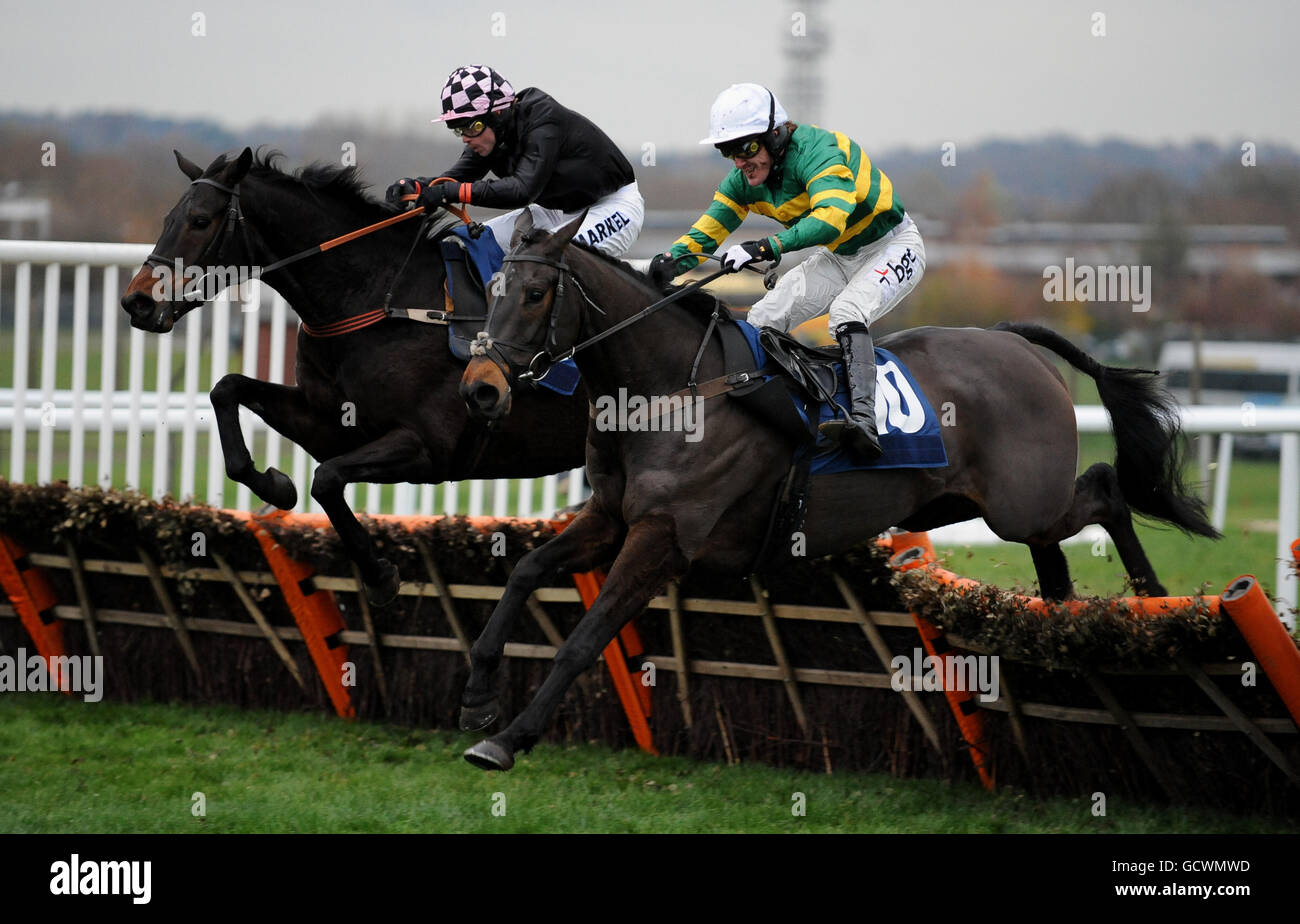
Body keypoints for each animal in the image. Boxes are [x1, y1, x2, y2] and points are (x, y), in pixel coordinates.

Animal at [122, 148, 590, 603]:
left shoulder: (429, 447)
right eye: (167, 218)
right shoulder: (328, 424)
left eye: (200, 220)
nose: (138, 301)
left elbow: (327, 479)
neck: (381, 301)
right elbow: (227, 390)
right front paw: (275, 486)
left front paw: (379, 574)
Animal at [452, 209, 1211, 774]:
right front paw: (479, 695)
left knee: (1106, 490)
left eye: (534, 294)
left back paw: (1148, 598)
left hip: (1023, 501)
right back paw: (1067, 616)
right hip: (988, 508)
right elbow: (525, 571)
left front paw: (508, 738)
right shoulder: (610, 516)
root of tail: (1014, 341)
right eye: (490, 292)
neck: (675, 388)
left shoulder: (664, 536)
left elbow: (586, 637)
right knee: (1058, 549)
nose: (480, 390)